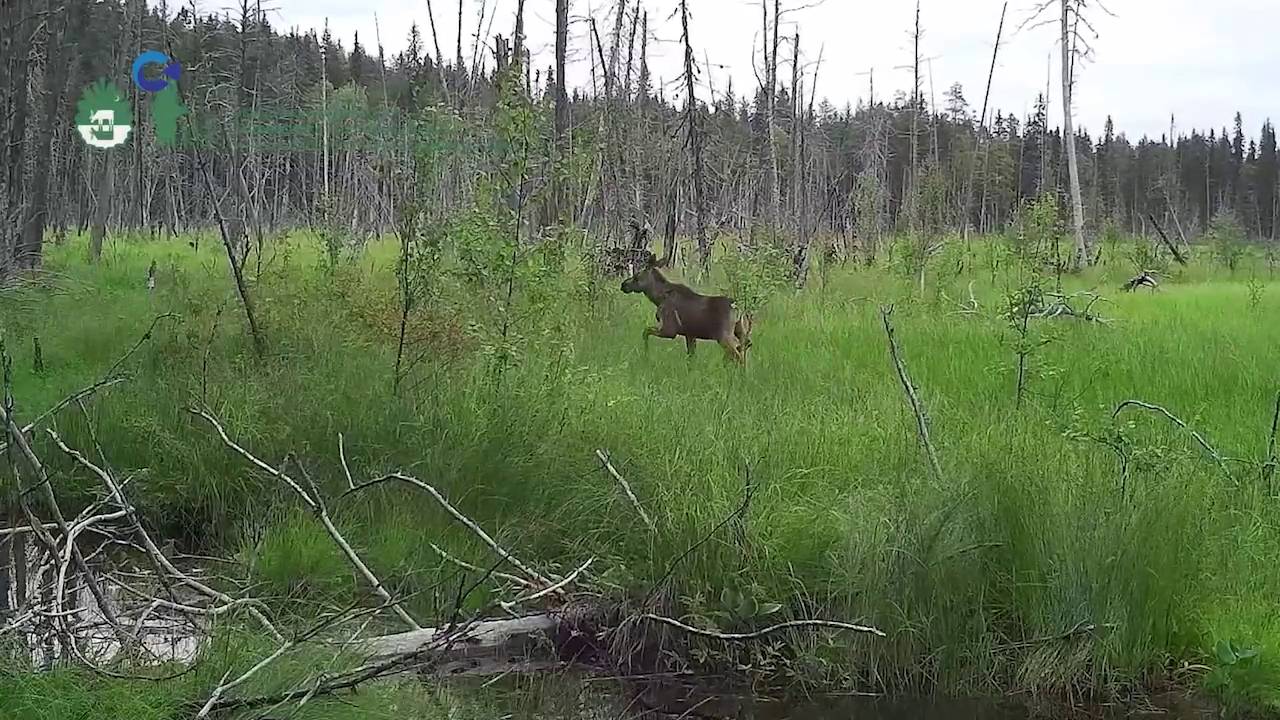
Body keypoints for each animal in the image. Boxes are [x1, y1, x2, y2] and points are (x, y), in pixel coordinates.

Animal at [616, 249, 747, 361]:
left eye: (636, 275)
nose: (623, 285)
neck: (658, 298)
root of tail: (738, 309)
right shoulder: (690, 334)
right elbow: (691, 357)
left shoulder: (670, 330)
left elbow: (645, 332)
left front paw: (646, 354)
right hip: (740, 331)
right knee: (742, 350)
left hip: (724, 335)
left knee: (738, 355)